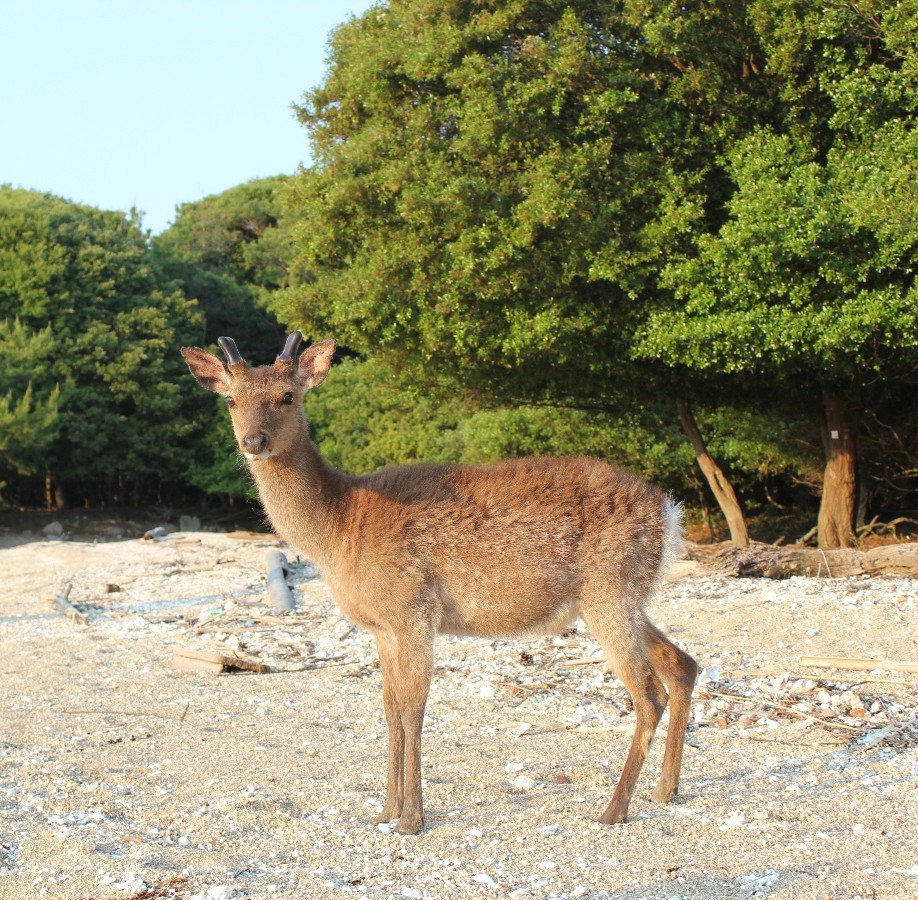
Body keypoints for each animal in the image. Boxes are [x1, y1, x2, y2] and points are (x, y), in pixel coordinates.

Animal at [181, 331, 699, 835]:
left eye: (288, 396)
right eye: (230, 399)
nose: (254, 440)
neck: (338, 528)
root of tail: (669, 511)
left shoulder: (413, 609)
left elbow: (413, 709)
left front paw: (412, 818)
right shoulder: (383, 627)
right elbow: (389, 709)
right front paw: (385, 810)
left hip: (610, 589)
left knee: (648, 694)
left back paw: (614, 808)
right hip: (620, 597)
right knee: (683, 663)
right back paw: (664, 790)